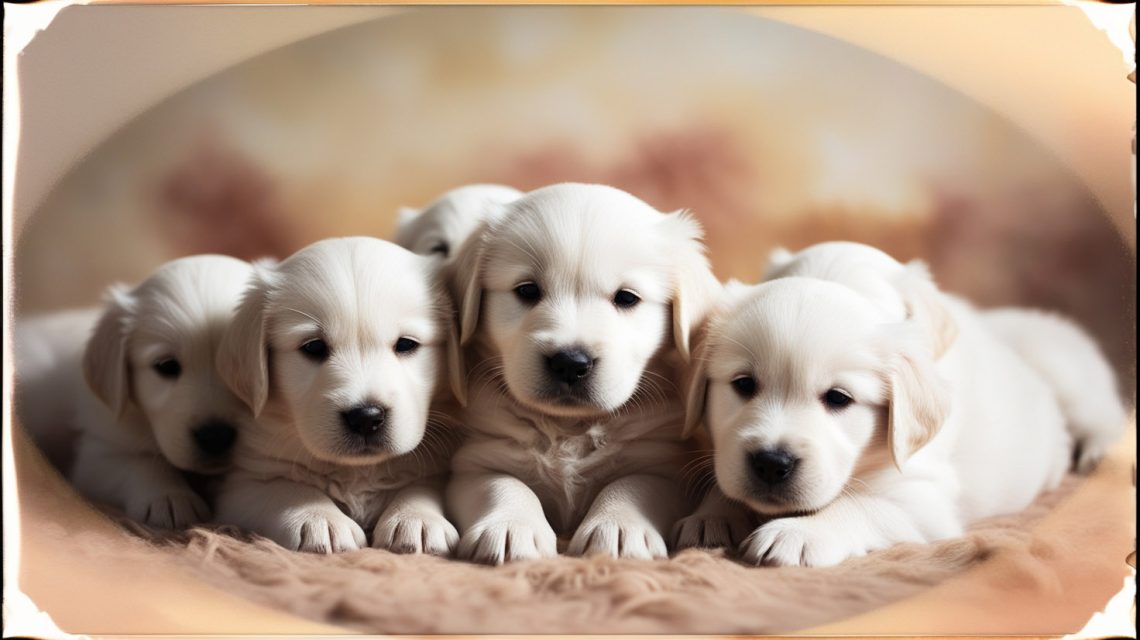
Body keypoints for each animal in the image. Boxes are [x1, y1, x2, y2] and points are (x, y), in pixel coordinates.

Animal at [212, 236, 465, 554]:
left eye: (406, 344)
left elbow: (424, 486)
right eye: (313, 347)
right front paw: (319, 519)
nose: (366, 417)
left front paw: (416, 519)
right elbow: (283, 488)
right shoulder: (244, 481)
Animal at [444, 182, 720, 561]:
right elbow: (502, 484)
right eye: (527, 290)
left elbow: (630, 485)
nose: (570, 363)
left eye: (627, 298)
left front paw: (618, 527)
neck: (569, 427)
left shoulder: (662, 465)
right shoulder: (477, 460)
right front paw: (511, 526)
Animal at [674, 241, 1121, 565]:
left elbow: (862, 506)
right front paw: (711, 515)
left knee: (1103, 412)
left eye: (838, 398)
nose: (771, 463)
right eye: (744, 384)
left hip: (1065, 368)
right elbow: (725, 481)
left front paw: (799, 533)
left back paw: (1100, 452)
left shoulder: (924, 499)